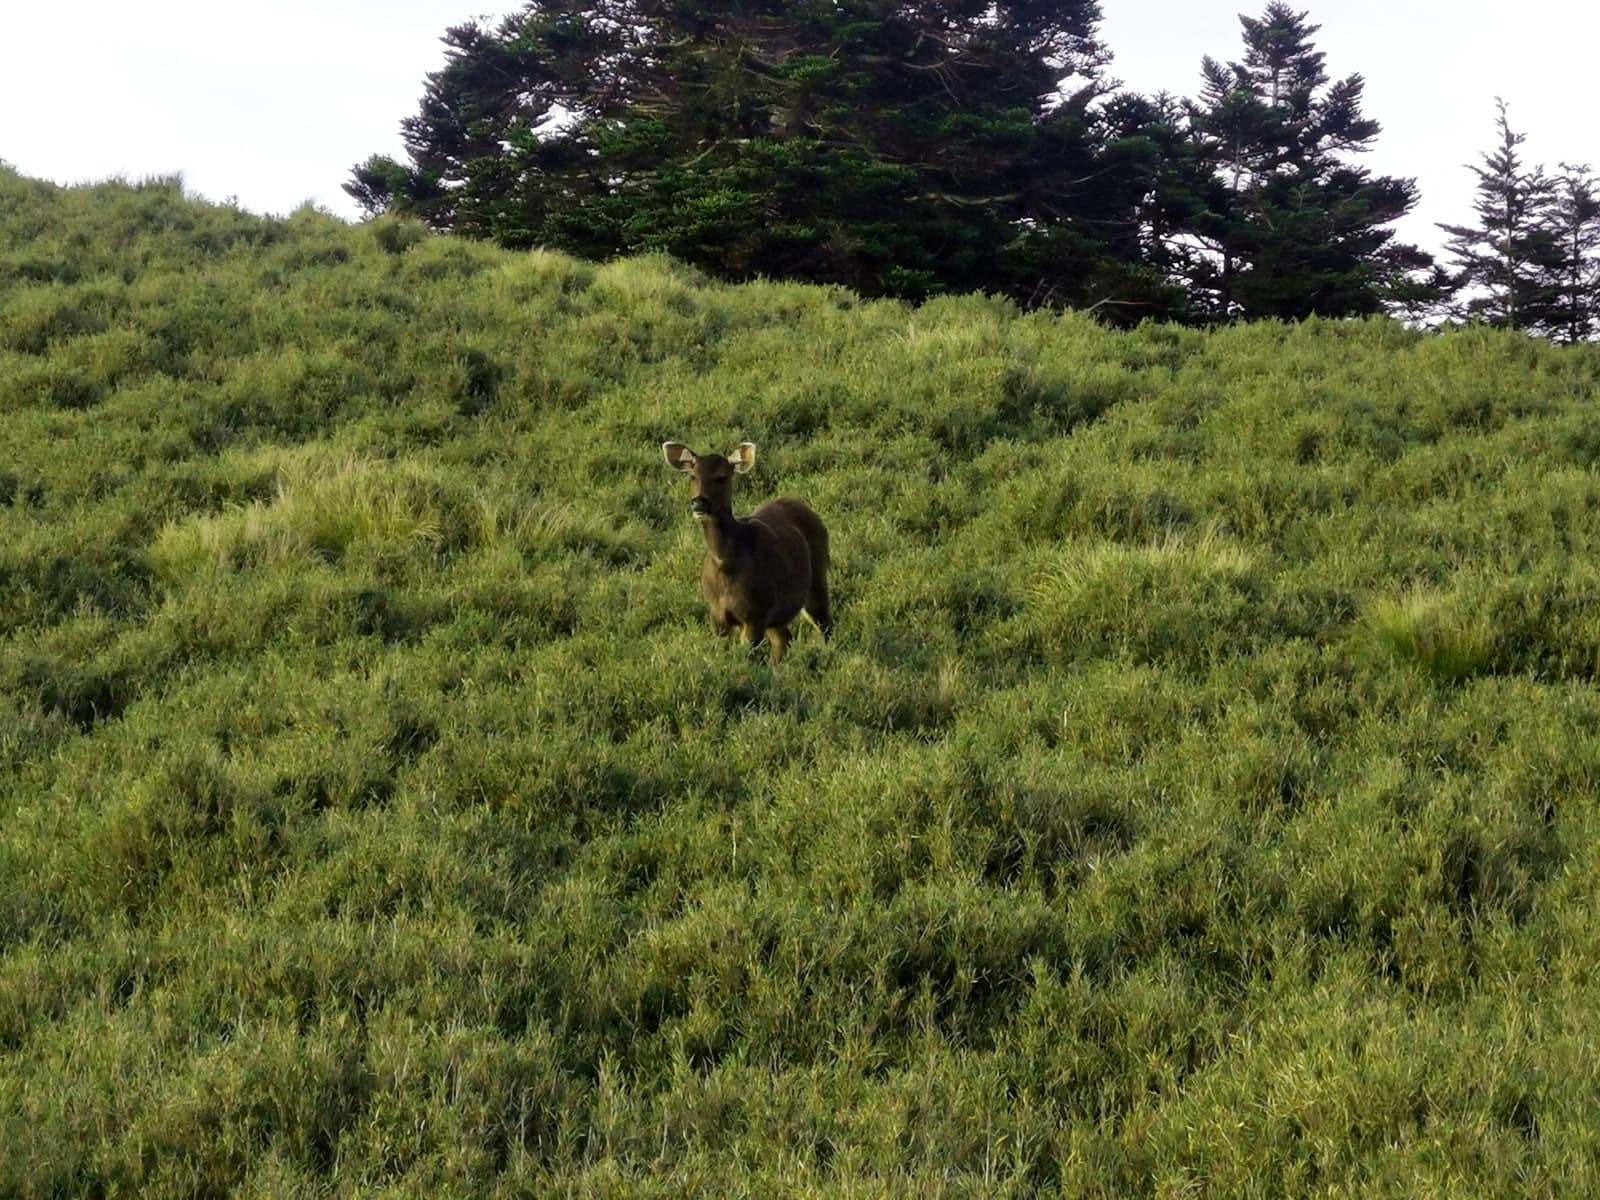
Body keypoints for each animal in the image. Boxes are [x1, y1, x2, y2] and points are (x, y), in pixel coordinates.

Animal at [662, 440, 831, 665]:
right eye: (693, 476)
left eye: (722, 476)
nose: (699, 503)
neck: (726, 565)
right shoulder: (717, 615)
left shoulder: (755, 613)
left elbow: (748, 658)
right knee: (784, 638)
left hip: (817, 577)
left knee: (825, 625)